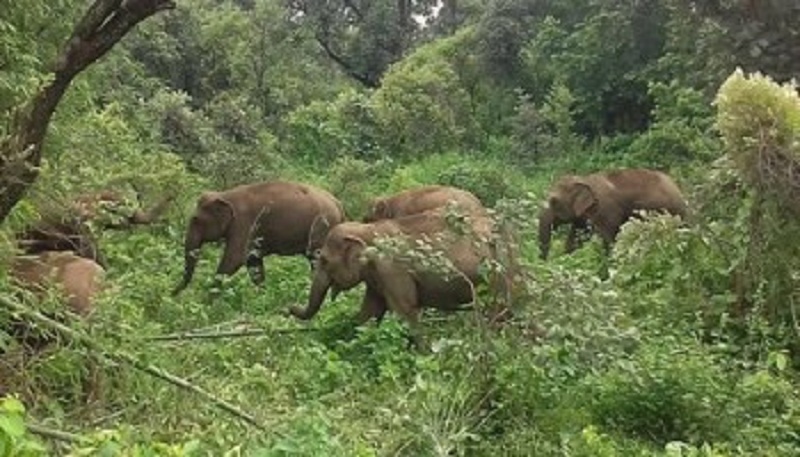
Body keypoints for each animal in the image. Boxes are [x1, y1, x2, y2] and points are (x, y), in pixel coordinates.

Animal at [173, 180, 346, 294]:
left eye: (196, 220)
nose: (172, 294)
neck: (225, 194)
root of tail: (338, 204)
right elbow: (253, 263)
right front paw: (263, 295)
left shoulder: (244, 224)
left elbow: (234, 259)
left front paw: (206, 301)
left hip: (322, 228)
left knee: (316, 260)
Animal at [288, 205, 494, 348]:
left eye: (324, 261)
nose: (289, 307)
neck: (368, 229)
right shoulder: (376, 277)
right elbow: (369, 312)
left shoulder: (392, 270)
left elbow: (406, 311)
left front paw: (424, 356)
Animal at [536, 167, 688, 256]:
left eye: (554, 201)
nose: (545, 264)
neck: (584, 179)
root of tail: (678, 189)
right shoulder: (583, 215)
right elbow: (576, 239)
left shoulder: (605, 209)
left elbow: (609, 238)